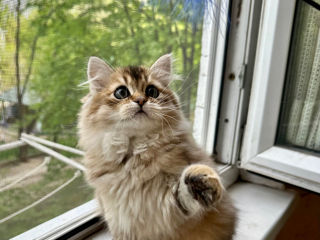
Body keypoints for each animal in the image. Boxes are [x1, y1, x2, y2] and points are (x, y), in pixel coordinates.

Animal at [78, 54, 236, 240]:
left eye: (152, 91)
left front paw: (200, 178)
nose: (140, 100)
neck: (136, 153)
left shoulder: (169, 205)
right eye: (121, 92)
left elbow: (185, 193)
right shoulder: (117, 217)